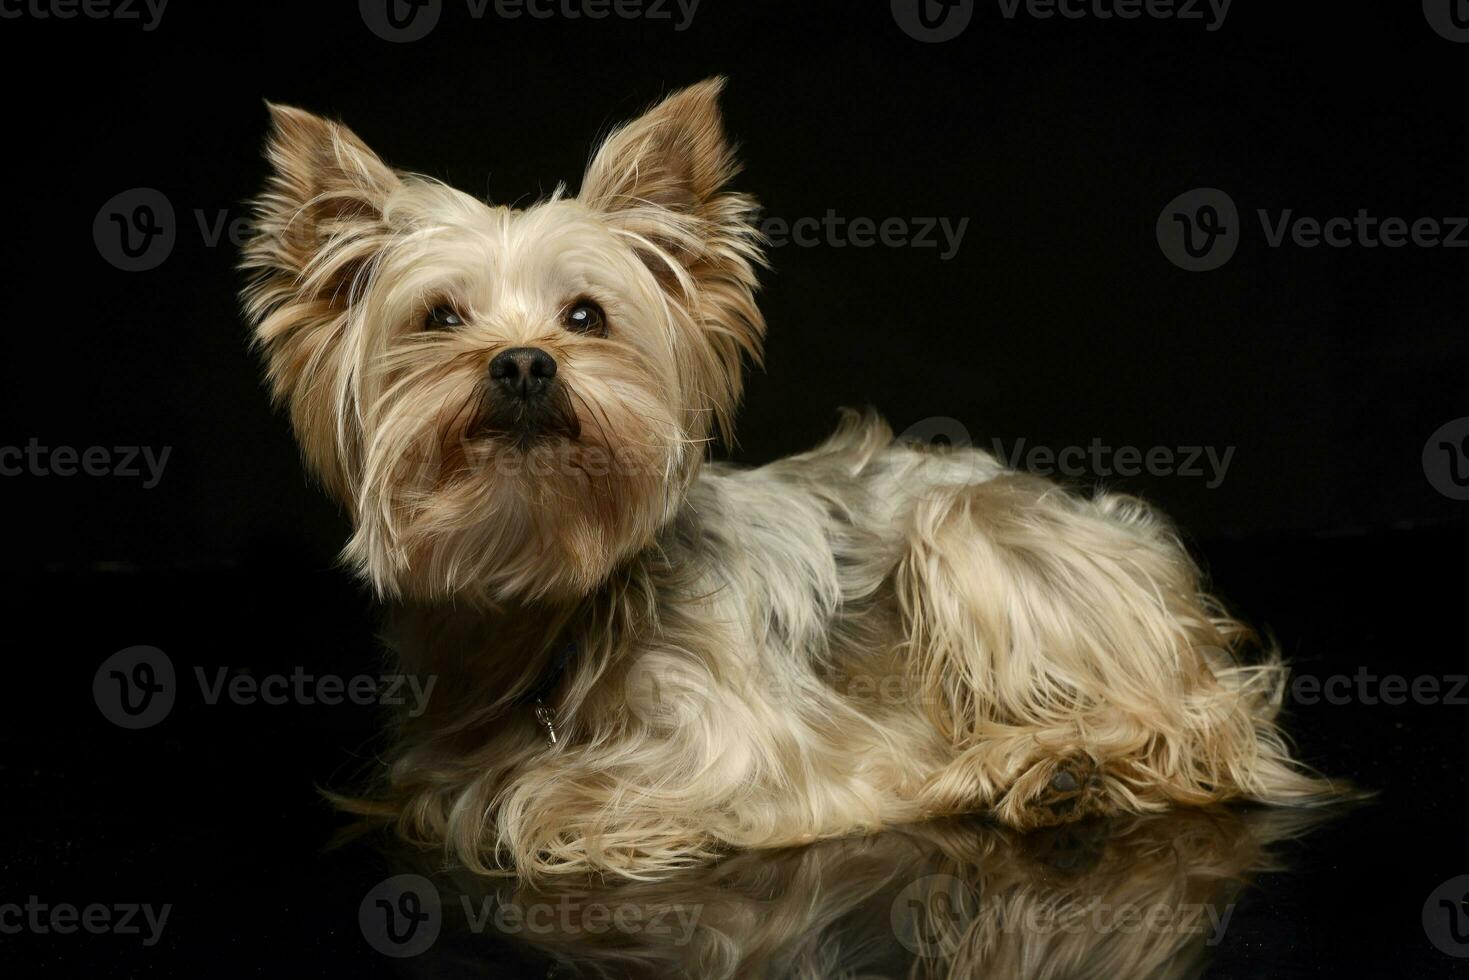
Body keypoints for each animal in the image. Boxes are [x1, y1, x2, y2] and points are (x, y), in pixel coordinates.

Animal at [243, 78, 1345, 881]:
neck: (553, 587)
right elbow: (448, 793)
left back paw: (1045, 762)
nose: (521, 363)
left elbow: (529, 798)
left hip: (974, 530)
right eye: (439, 318)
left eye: (586, 315)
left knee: (1196, 725)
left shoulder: (764, 757)